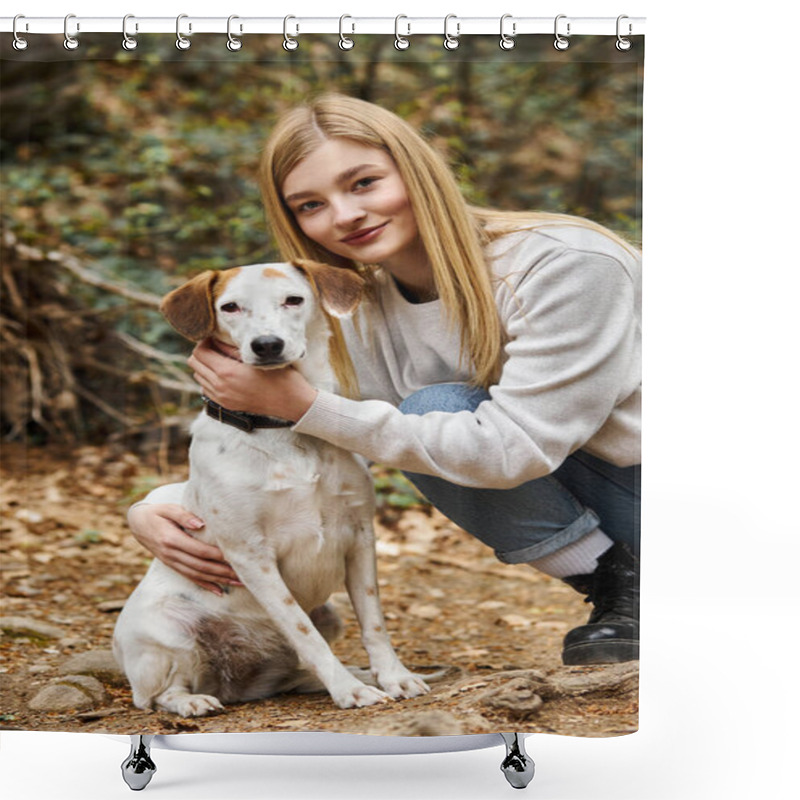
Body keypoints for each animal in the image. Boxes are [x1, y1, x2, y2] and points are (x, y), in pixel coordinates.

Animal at [111, 260, 432, 716]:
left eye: (293, 299)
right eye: (230, 307)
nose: (266, 345)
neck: (281, 427)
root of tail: (234, 682)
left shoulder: (359, 535)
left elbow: (374, 622)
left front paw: (393, 676)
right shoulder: (251, 555)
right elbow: (303, 632)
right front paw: (347, 690)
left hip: (328, 615)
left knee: (292, 673)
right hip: (166, 632)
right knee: (158, 695)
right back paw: (192, 701)